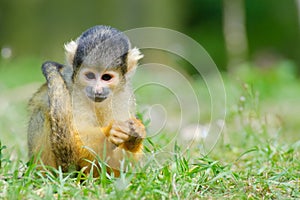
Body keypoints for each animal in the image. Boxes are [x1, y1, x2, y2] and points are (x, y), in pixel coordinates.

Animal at [26, 25, 145, 177]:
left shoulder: (124, 95)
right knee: (42, 114)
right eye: (90, 75)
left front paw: (135, 136)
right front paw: (111, 132)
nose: (97, 90)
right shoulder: (73, 90)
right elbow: (77, 142)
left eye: (106, 77)